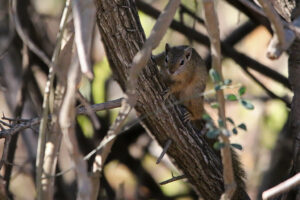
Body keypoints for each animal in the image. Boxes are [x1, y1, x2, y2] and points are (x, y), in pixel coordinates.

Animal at [152, 43, 248, 200]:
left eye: (182, 62)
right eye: (166, 58)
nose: (171, 71)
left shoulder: (186, 77)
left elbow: (178, 85)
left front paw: (169, 90)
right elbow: (157, 58)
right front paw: (152, 57)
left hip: (194, 96)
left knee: (196, 111)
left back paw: (191, 115)